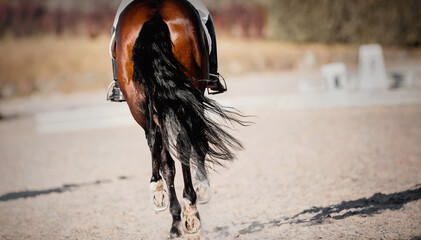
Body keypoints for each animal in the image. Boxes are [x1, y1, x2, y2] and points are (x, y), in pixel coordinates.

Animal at [115, 0, 244, 237]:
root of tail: (154, 14)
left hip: (140, 102)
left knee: (160, 143)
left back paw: (168, 201)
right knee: (182, 145)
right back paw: (190, 210)